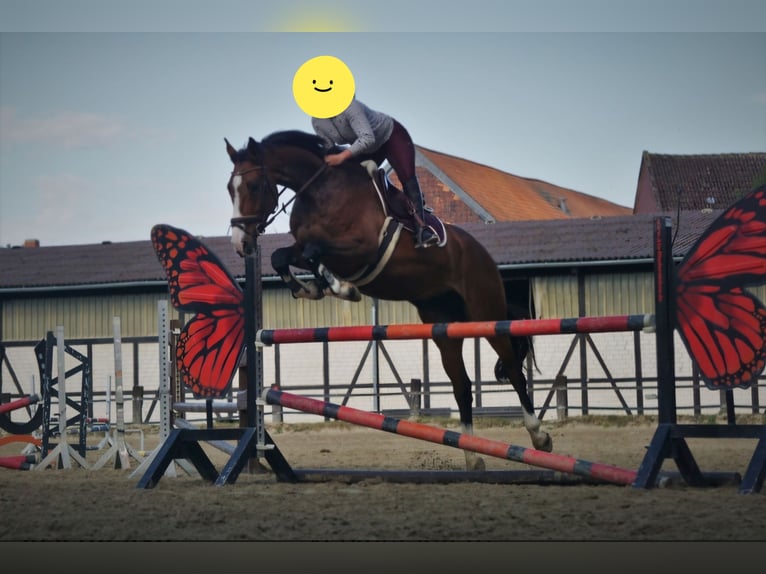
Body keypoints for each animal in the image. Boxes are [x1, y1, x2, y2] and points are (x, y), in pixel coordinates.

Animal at [225, 130, 552, 470]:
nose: (240, 243)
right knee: (462, 386)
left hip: (485, 312)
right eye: (229, 189)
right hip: (443, 324)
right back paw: (473, 457)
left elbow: (316, 250)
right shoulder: (301, 247)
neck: (319, 191)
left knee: (513, 368)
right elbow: (281, 256)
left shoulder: (362, 248)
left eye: (253, 185)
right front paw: (312, 288)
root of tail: (481, 252)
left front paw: (339, 286)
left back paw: (539, 437)